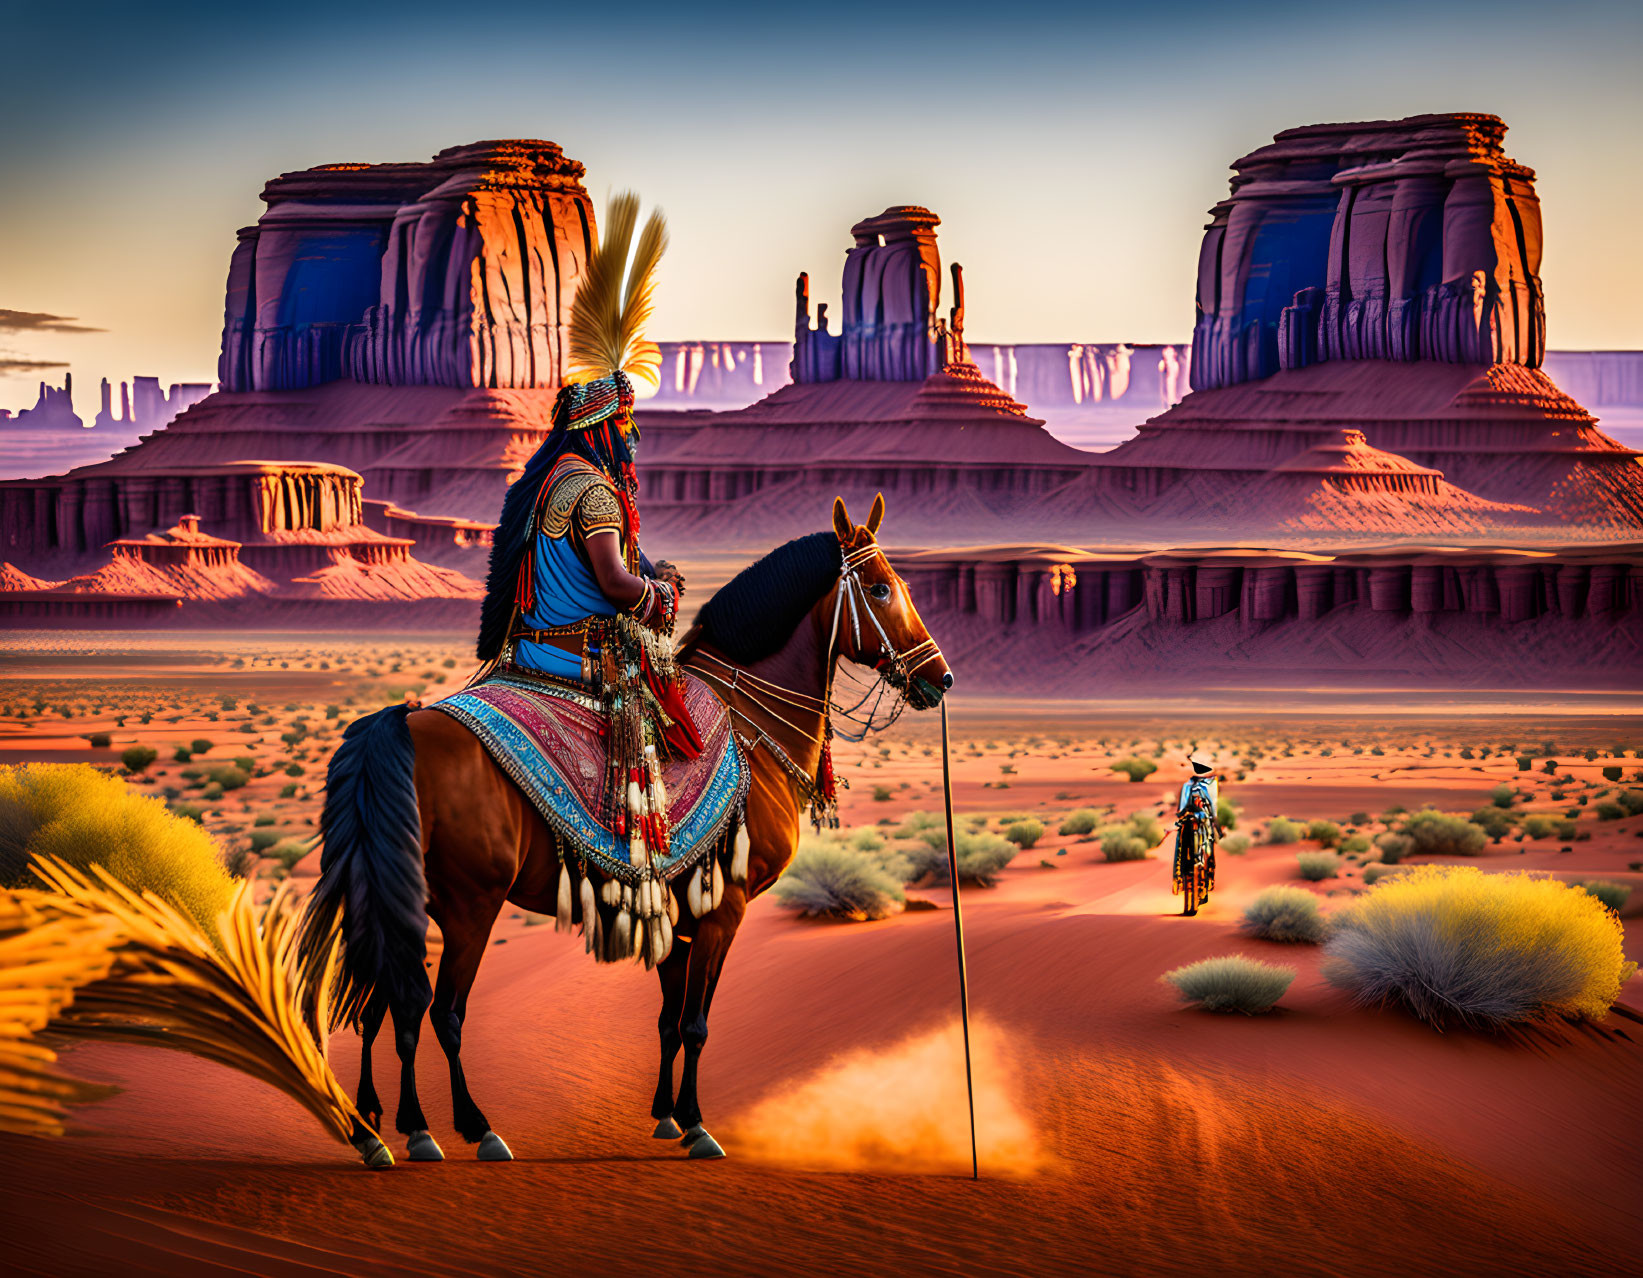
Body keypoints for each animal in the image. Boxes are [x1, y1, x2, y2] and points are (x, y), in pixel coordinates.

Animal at [299, 496, 952, 1163]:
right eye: (881, 588)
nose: (940, 677)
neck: (749, 727)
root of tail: (399, 723)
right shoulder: (725, 910)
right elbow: (696, 1021)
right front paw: (697, 1124)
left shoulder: (679, 908)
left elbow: (668, 1017)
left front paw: (666, 1116)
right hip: (469, 905)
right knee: (438, 1012)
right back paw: (464, 1129)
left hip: (398, 900)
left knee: (383, 1007)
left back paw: (378, 1128)